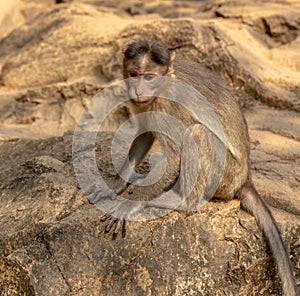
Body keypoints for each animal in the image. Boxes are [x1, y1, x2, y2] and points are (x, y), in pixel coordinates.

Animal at [99, 40, 296, 296]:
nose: (139, 91)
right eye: (134, 75)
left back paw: (183, 202)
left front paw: (130, 204)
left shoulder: (168, 105)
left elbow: (173, 158)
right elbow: (145, 133)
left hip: (225, 174)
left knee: (197, 133)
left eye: (149, 77)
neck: (163, 85)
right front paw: (115, 184)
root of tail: (245, 178)